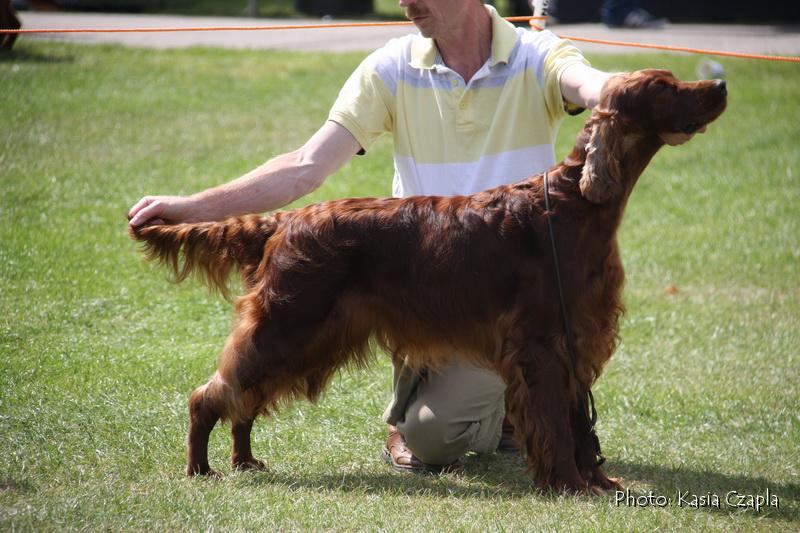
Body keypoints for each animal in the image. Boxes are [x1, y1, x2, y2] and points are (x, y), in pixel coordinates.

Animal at [133, 69, 732, 490]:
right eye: (664, 87)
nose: (721, 84)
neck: (575, 203)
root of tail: (286, 220)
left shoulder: (576, 340)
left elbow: (579, 423)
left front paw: (600, 481)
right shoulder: (543, 344)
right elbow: (560, 428)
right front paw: (570, 485)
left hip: (301, 334)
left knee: (244, 396)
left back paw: (244, 459)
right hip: (290, 323)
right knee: (212, 394)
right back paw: (202, 468)